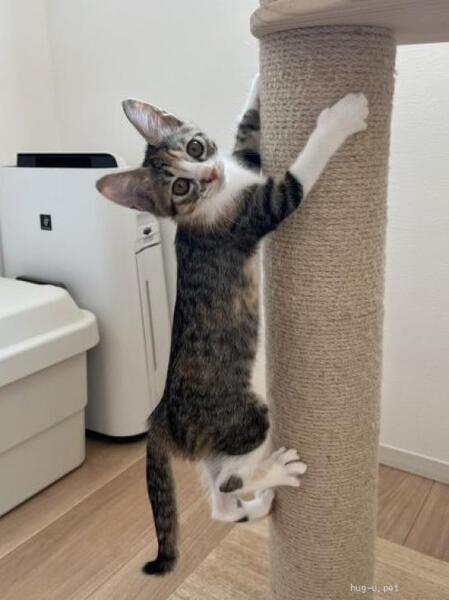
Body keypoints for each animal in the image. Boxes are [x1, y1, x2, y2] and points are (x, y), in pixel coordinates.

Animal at [97, 76, 369, 576]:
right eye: (181, 187)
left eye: (196, 147)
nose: (210, 176)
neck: (221, 195)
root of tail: (161, 417)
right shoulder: (257, 211)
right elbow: (297, 179)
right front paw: (341, 118)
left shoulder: (245, 159)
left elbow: (249, 128)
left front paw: (262, 79)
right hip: (246, 418)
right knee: (230, 479)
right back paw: (279, 472)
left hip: (214, 444)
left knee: (219, 497)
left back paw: (255, 506)